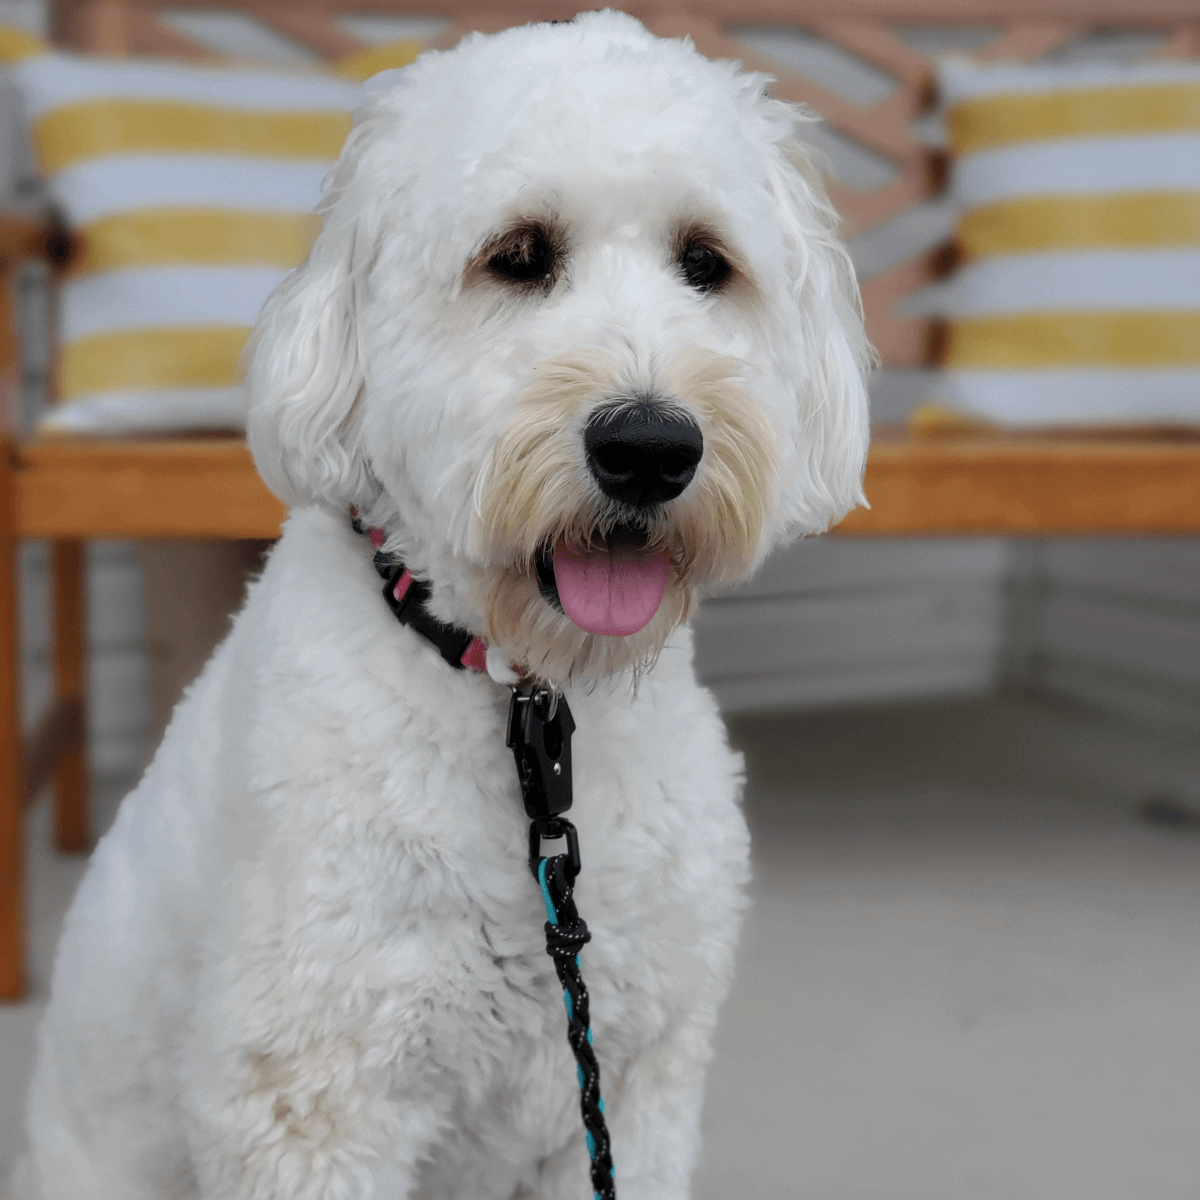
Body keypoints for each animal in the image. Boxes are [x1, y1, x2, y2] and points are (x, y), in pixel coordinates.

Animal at [21, 11, 873, 1200]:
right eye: (517, 255)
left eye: (707, 262)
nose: (649, 447)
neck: (528, 711)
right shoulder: (314, 1105)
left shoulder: (630, 1089)